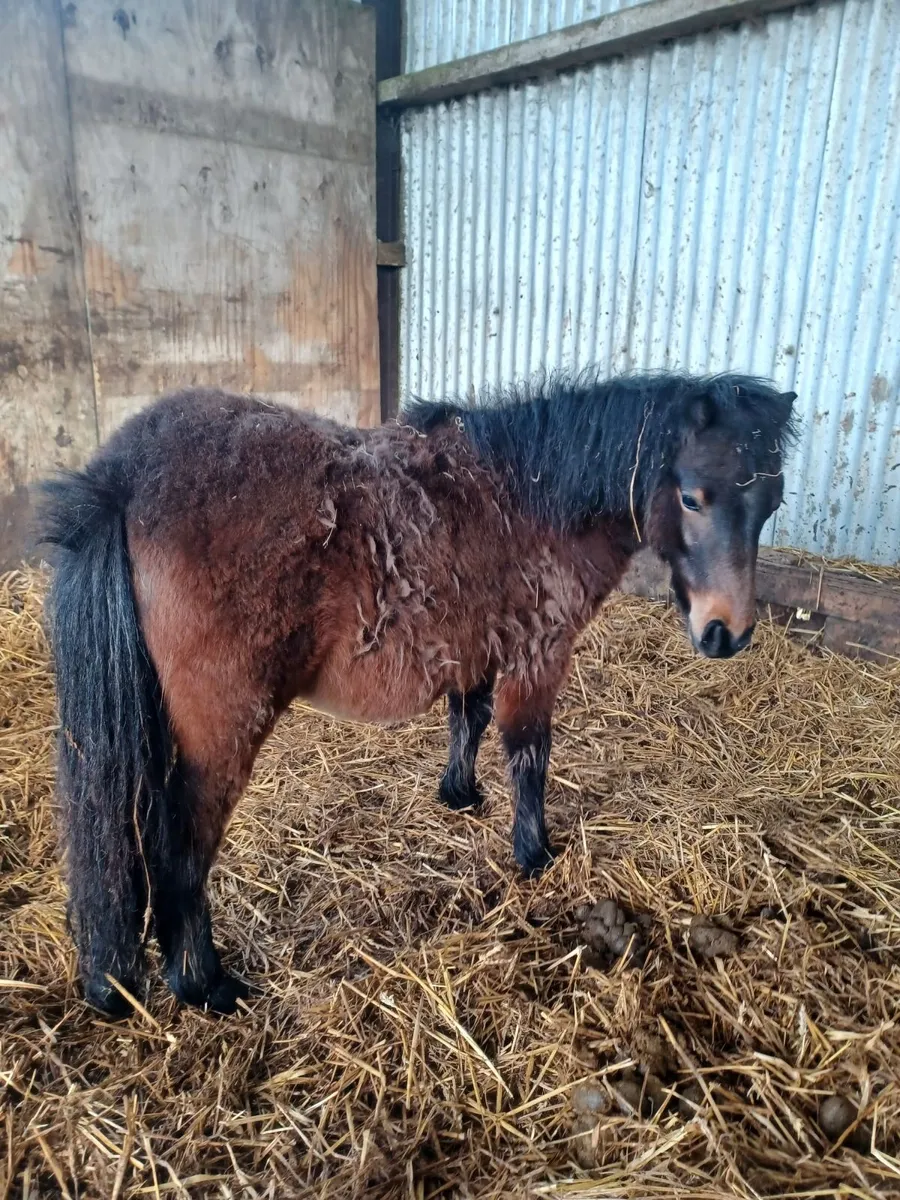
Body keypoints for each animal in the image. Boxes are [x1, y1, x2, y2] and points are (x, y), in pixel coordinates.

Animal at [39, 370, 796, 1017]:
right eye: (693, 496)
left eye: (771, 502)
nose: (726, 633)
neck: (530, 493)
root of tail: (122, 480)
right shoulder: (539, 655)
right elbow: (528, 751)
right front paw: (535, 855)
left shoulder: (475, 646)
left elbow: (470, 718)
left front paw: (459, 794)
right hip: (222, 733)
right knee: (181, 847)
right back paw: (205, 985)